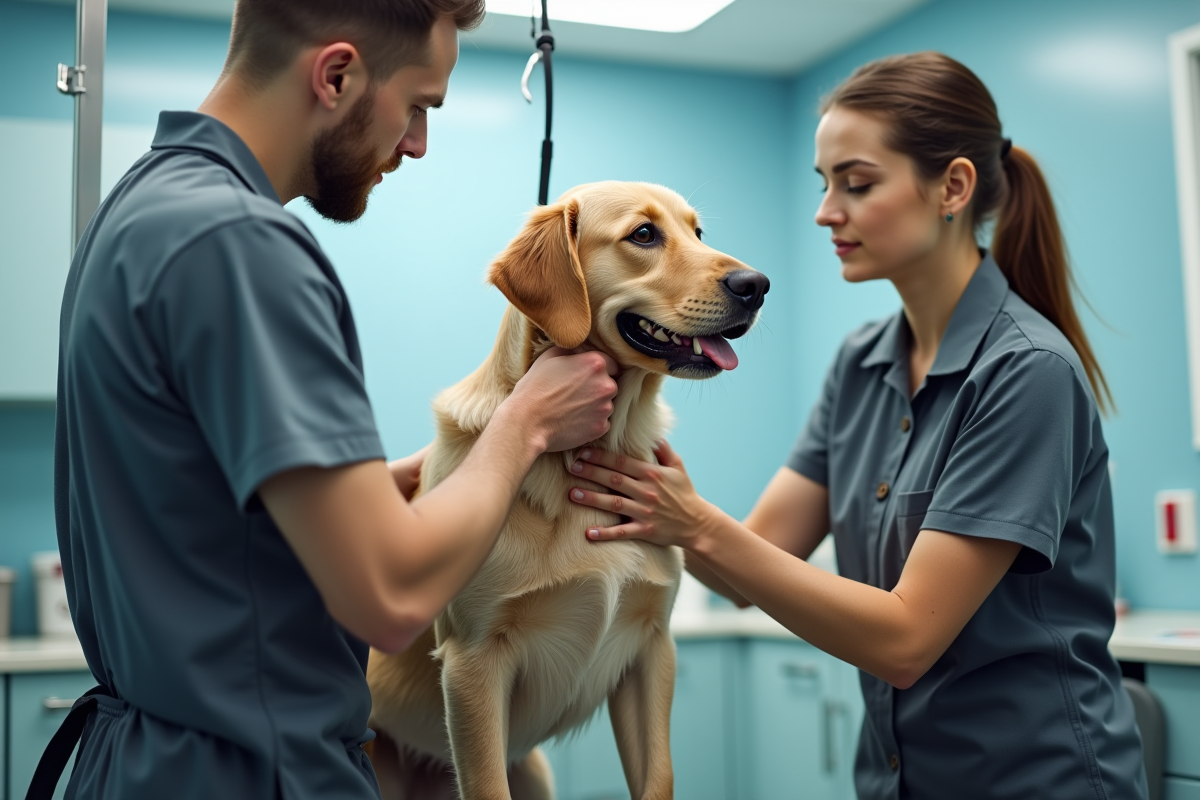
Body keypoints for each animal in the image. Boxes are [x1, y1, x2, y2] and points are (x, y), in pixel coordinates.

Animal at [364, 181, 772, 800]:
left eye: (698, 232)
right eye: (644, 234)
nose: (757, 285)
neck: (583, 453)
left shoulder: (651, 647)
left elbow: (660, 777)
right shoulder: (472, 663)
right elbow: (487, 786)